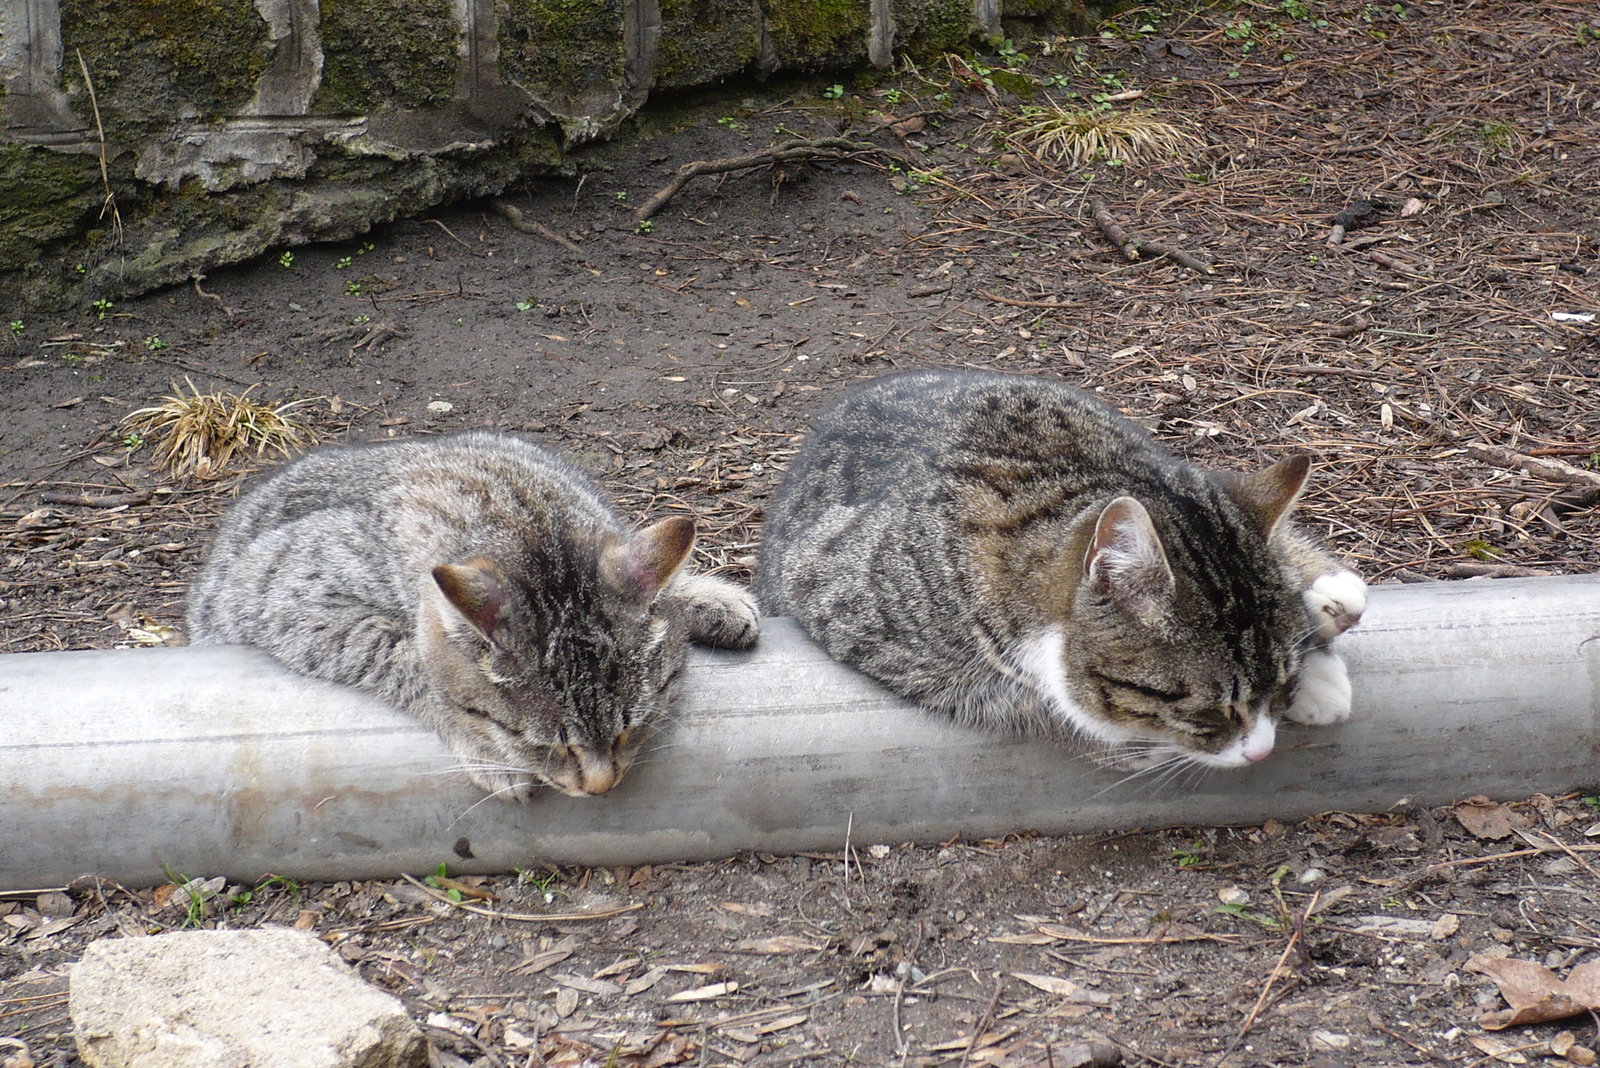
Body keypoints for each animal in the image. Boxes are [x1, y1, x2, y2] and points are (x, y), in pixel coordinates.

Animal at [187, 428, 761, 796]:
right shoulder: (287, 594)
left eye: (628, 729)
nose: (601, 786)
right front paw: (488, 750)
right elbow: (406, 659)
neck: (518, 514)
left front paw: (704, 597)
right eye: (542, 744)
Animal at [758, 370, 1363, 770]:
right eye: (1216, 707)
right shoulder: (857, 610)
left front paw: (1313, 653)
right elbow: (1049, 702)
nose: (1262, 751)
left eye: (1280, 684)